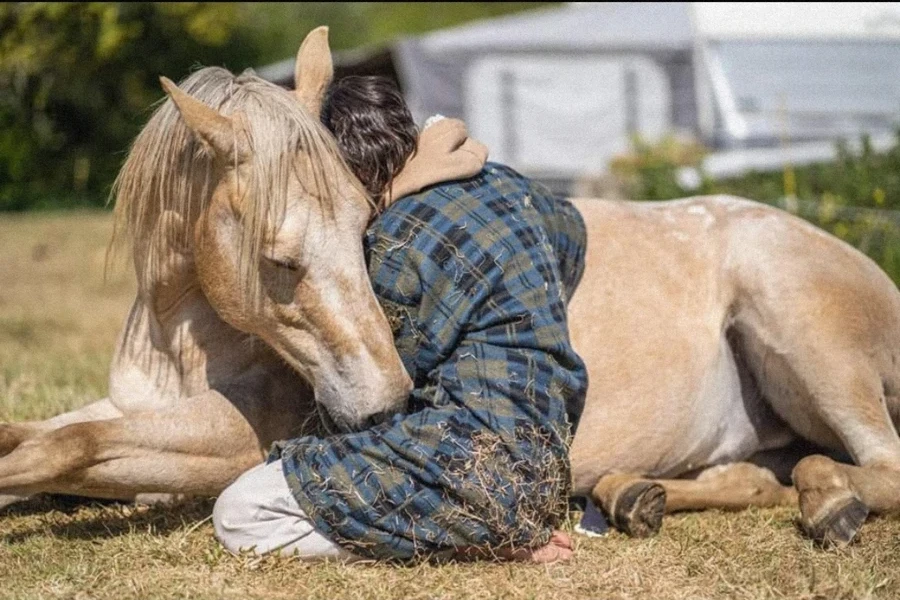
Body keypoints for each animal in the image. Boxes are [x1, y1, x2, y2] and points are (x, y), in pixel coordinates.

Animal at [2, 27, 900, 550]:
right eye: (281, 260)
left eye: (368, 231)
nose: (383, 408)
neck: (179, 335)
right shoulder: (133, 409)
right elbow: (46, 438)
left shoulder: (231, 438)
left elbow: (64, 448)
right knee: (757, 476)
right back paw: (632, 495)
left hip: (808, 343)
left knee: (875, 465)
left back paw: (827, 504)